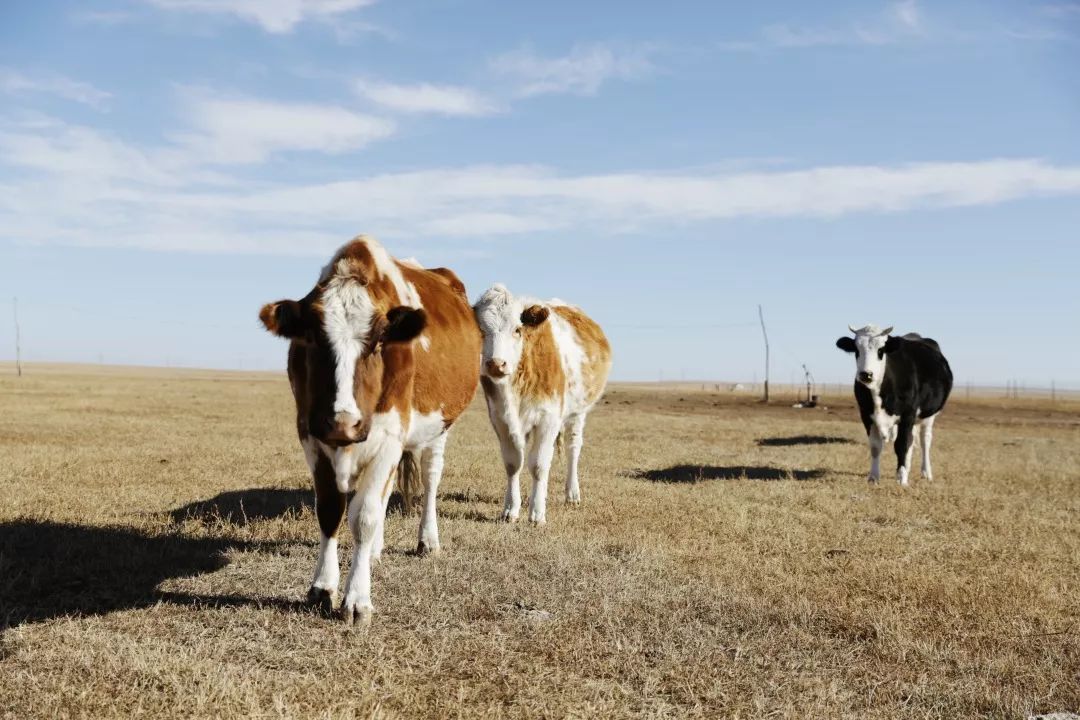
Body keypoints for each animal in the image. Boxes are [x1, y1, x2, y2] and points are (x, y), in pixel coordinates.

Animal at [259, 237, 479, 626]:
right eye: (312, 340)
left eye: (377, 343)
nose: (343, 422)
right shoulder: (310, 434)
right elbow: (331, 509)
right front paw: (322, 587)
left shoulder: (390, 435)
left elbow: (364, 516)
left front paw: (357, 599)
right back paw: (375, 551)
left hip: (438, 428)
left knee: (429, 478)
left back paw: (427, 540)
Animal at [475, 284, 617, 526]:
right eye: (481, 331)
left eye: (517, 329)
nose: (496, 364)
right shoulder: (501, 419)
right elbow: (513, 463)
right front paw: (510, 509)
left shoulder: (548, 419)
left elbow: (539, 465)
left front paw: (537, 513)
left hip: (578, 413)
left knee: (573, 448)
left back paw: (572, 494)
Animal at [833, 325, 954, 483]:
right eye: (857, 350)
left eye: (881, 350)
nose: (866, 374)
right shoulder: (866, 414)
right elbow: (875, 446)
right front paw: (873, 477)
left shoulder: (908, 414)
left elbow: (901, 445)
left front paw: (901, 478)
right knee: (912, 440)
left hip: (928, 415)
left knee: (925, 441)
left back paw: (926, 472)